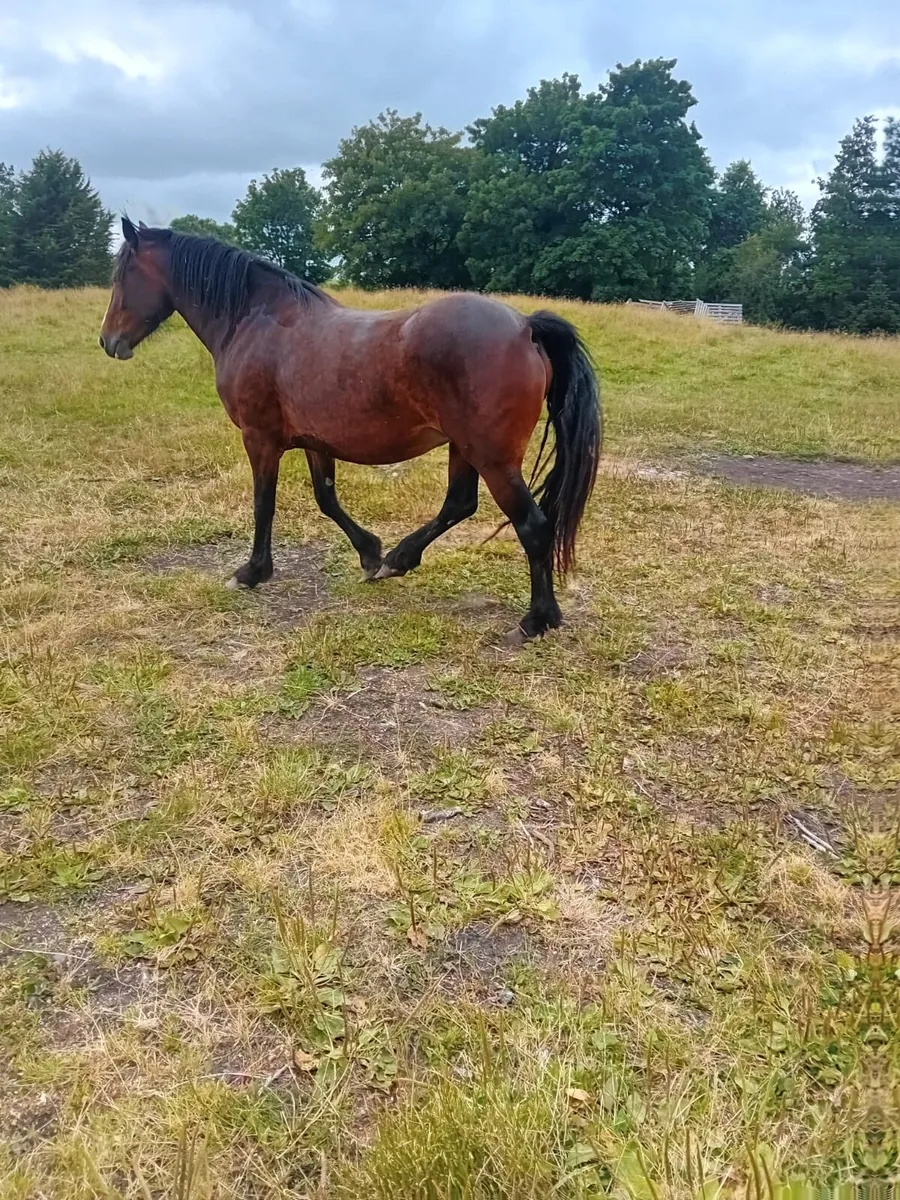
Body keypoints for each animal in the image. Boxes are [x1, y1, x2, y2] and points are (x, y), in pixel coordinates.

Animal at [99, 217, 601, 639]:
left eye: (122, 275)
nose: (108, 341)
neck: (257, 320)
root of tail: (525, 327)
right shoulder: (315, 441)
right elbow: (326, 499)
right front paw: (370, 553)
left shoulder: (259, 439)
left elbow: (264, 505)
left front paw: (252, 572)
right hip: (465, 448)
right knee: (459, 504)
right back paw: (399, 560)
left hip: (492, 457)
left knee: (532, 526)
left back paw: (538, 619)